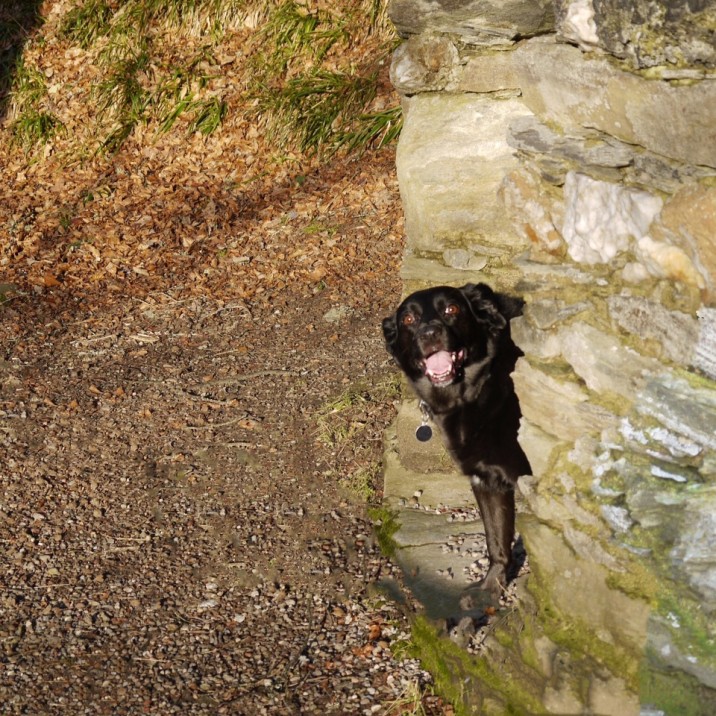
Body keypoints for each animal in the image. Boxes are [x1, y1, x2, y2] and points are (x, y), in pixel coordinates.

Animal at [384, 282, 528, 600]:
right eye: (408, 320)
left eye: (452, 309)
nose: (429, 333)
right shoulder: (487, 480)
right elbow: (496, 540)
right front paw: (490, 590)